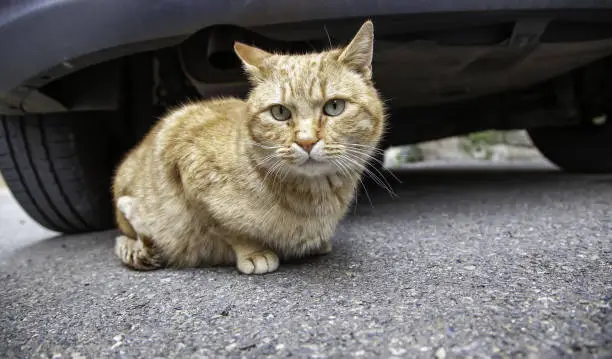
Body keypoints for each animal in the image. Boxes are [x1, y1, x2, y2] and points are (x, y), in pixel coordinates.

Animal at [112, 20, 384, 276]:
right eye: (280, 112)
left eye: (334, 106)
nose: (306, 141)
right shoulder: (186, 163)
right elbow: (229, 228)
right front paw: (254, 252)